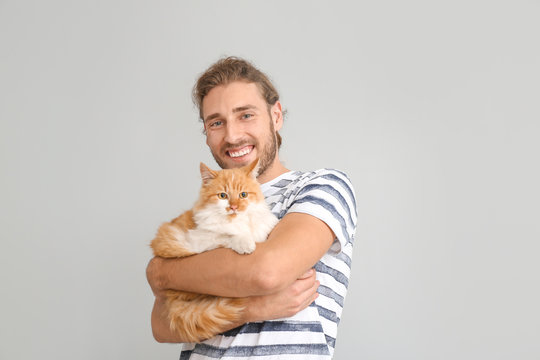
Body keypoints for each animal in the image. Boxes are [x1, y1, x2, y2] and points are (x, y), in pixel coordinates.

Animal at [151, 160, 278, 344]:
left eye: (243, 195)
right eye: (223, 196)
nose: (233, 207)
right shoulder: (198, 240)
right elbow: (227, 235)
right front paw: (245, 243)